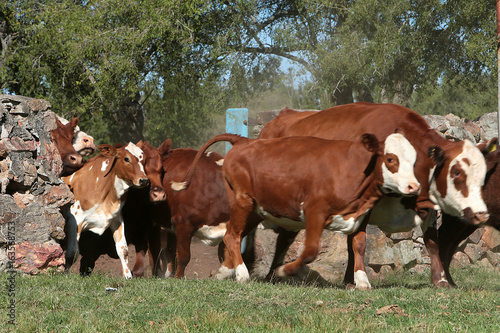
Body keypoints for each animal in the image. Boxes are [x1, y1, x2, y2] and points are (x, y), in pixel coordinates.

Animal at [62, 142, 148, 278]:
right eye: (126, 158)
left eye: (143, 159)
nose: (144, 180)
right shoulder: (74, 219)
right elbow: (72, 252)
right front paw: (64, 274)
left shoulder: (116, 219)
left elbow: (123, 249)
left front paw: (128, 276)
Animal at [172, 132, 422, 282]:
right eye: (391, 159)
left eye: (413, 160)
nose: (414, 186)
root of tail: (244, 141)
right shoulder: (314, 212)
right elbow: (310, 251)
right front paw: (283, 271)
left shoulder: (361, 216)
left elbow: (359, 246)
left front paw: (361, 280)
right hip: (242, 201)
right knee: (232, 235)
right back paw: (242, 273)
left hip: (256, 209)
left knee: (233, 235)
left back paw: (225, 271)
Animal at [256, 102, 490, 288]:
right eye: (457, 172)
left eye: (483, 173)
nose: (481, 214)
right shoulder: (363, 205)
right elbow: (358, 243)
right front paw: (359, 280)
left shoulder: (427, 206)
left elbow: (432, 242)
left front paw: (440, 280)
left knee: (285, 238)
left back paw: (273, 274)